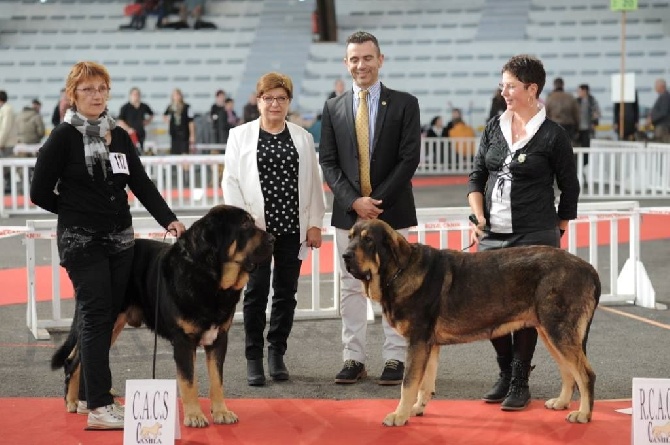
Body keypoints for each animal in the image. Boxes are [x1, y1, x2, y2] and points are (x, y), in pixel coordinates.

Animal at [49, 205, 276, 426]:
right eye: (245, 224)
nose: (273, 239)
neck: (211, 279)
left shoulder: (219, 338)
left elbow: (217, 379)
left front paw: (221, 412)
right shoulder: (183, 340)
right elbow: (189, 381)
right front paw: (194, 416)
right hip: (104, 317)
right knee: (75, 360)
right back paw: (73, 401)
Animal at [344, 219, 600, 426]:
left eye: (368, 240)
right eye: (350, 237)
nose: (345, 255)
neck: (398, 270)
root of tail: (589, 269)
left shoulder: (417, 341)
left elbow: (408, 383)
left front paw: (399, 415)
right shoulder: (429, 345)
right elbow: (424, 383)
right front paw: (417, 408)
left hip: (558, 330)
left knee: (585, 374)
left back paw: (583, 414)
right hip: (549, 332)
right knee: (569, 371)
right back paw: (562, 402)